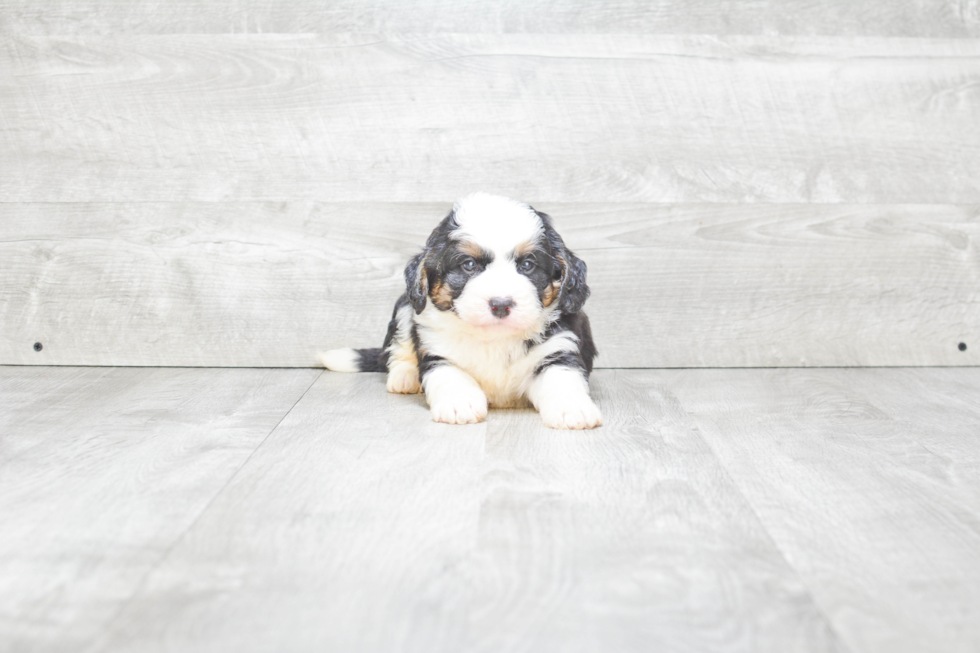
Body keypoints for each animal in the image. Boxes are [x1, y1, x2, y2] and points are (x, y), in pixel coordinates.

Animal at [318, 191, 600, 430]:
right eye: (469, 265)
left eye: (528, 265)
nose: (500, 303)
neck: (494, 339)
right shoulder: (437, 351)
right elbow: (451, 376)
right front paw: (459, 405)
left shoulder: (558, 348)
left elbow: (561, 378)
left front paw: (573, 410)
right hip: (405, 307)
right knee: (398, 349)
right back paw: (405, 376)